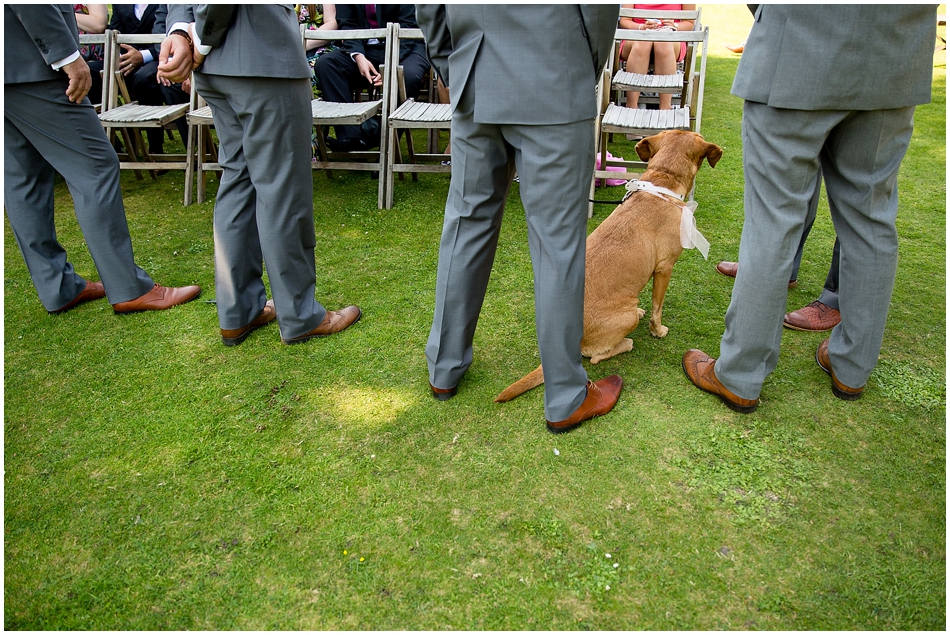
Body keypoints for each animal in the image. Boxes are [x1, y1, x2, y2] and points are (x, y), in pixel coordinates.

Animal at [498, 130, 720, 402]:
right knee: (594, 357)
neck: (662, 182)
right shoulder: (664, 268)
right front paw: (658, 330)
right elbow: (657, 308)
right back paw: (626, 342)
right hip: (624, 318)